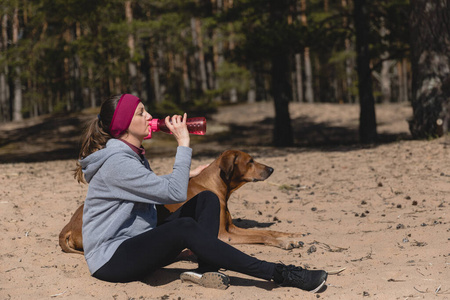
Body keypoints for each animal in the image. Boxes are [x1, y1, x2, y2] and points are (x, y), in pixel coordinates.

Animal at [59, 149, 302, 253]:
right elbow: (262, 235)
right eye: (250, 161)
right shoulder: (223, 235)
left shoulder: (231, 228)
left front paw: (291, 236)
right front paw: (284, 242)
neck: (214, 185)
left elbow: (267, 231)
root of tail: (67, 226)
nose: (271, 169)